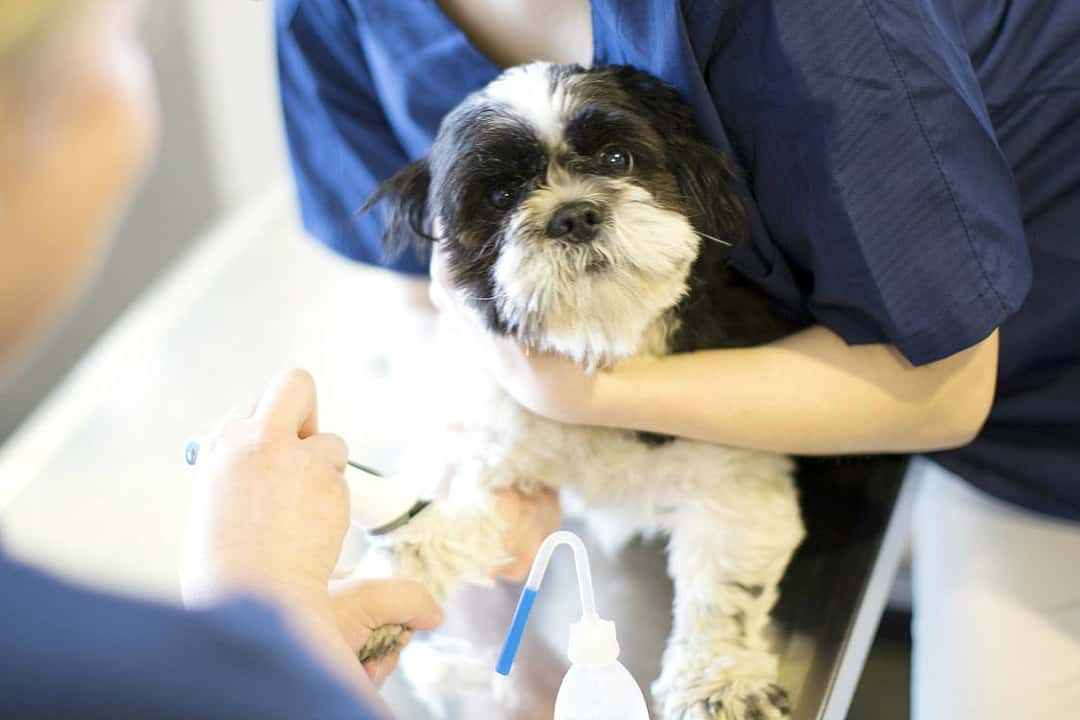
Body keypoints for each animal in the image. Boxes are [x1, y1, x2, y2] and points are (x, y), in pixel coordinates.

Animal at [360, 63, 803, 720]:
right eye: (500, 197)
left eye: (618, 158)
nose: (573, 215)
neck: (600, 344)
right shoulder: (490, 439)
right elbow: (423, 529)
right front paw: (380, 594)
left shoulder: (735, 478)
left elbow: (723, 593)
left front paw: (719, 682)